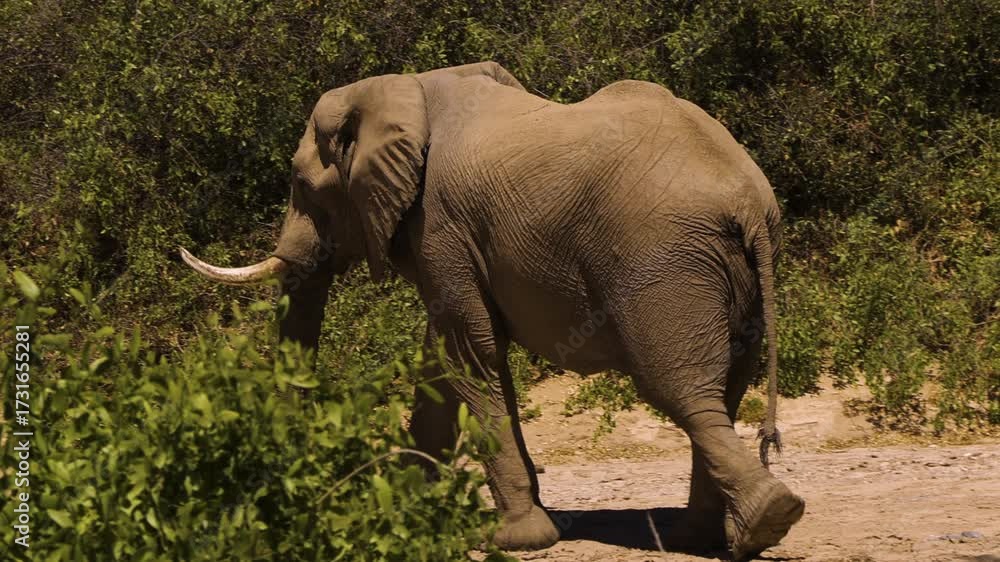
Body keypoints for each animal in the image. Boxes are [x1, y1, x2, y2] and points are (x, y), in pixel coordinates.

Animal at [180, 61, 804, 560]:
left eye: (301, 185)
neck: (403, 89)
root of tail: (749, 202)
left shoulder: (440, 223)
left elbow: (470, 353)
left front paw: (515, 539)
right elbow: (441, 360)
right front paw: (403, 511)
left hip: (662, 265)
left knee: (681, 390)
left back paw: (764, 521)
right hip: (727, 272)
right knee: (725, 389)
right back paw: (708, 537)